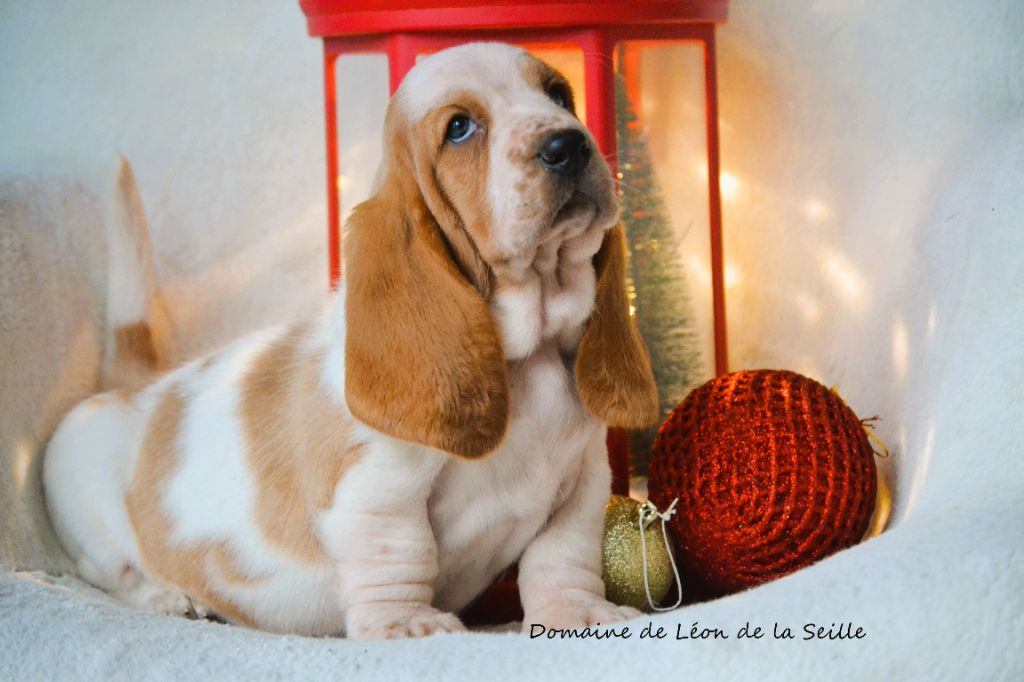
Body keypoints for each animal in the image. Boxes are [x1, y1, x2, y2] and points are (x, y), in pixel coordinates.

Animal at [44, 42, 659, 638]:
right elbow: (401, 554)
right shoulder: (378, 489)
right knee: (112, 571)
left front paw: (578, 616)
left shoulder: (583, 484)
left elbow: (563, 558)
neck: (528, 358)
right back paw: (170, 598)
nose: (568, 144)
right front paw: (408, 623)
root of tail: (137, 387)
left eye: (559, 95)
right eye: (460, 128)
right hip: (85, 498)